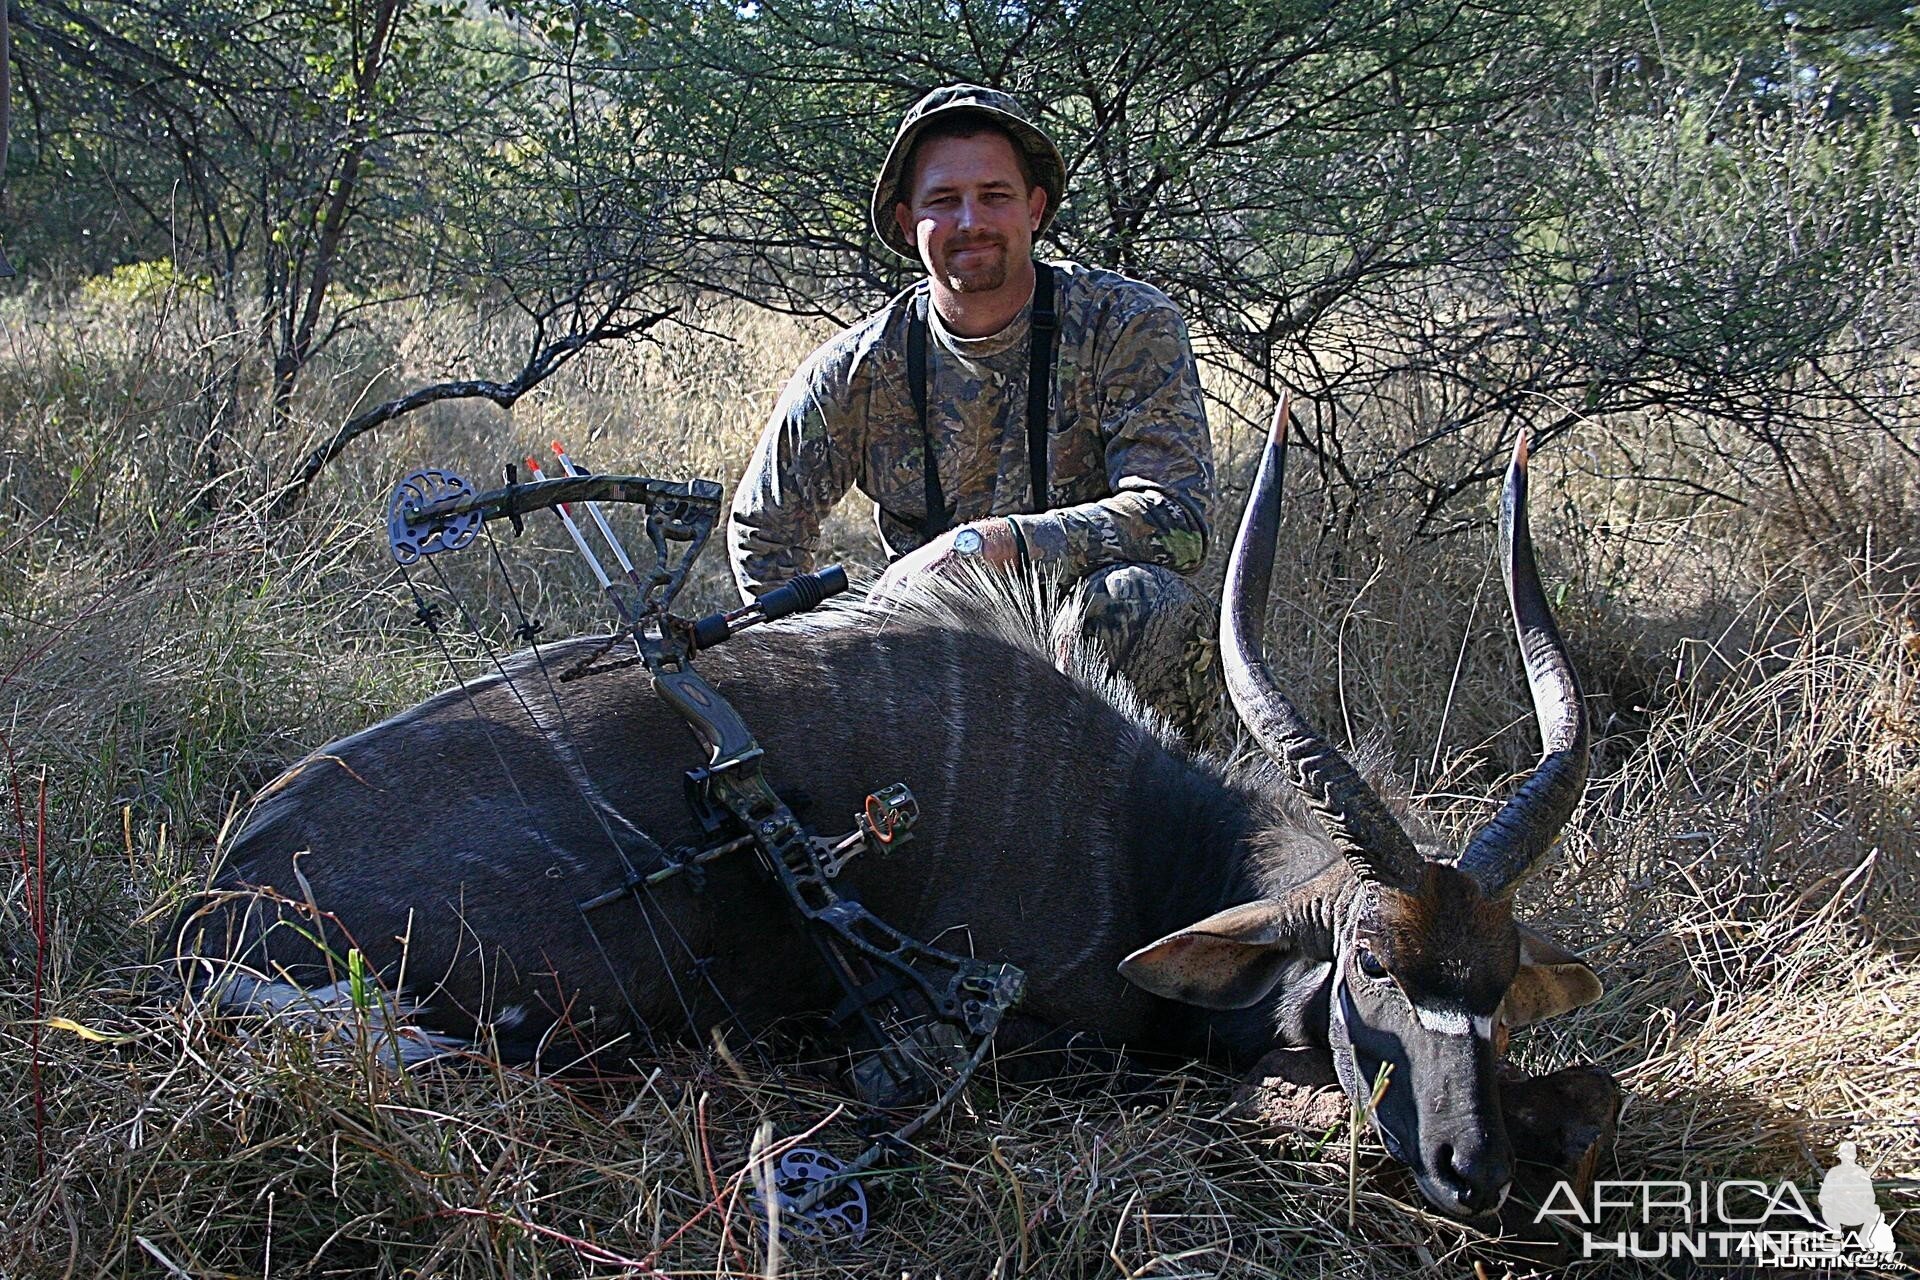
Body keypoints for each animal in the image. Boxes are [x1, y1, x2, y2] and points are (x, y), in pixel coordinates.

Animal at [176, 410, 1605, 1220]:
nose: (1471, 1170)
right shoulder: (1014, 1035)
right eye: (1371, 963)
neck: (1151, 834)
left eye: (1499, 977)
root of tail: (226, 888)